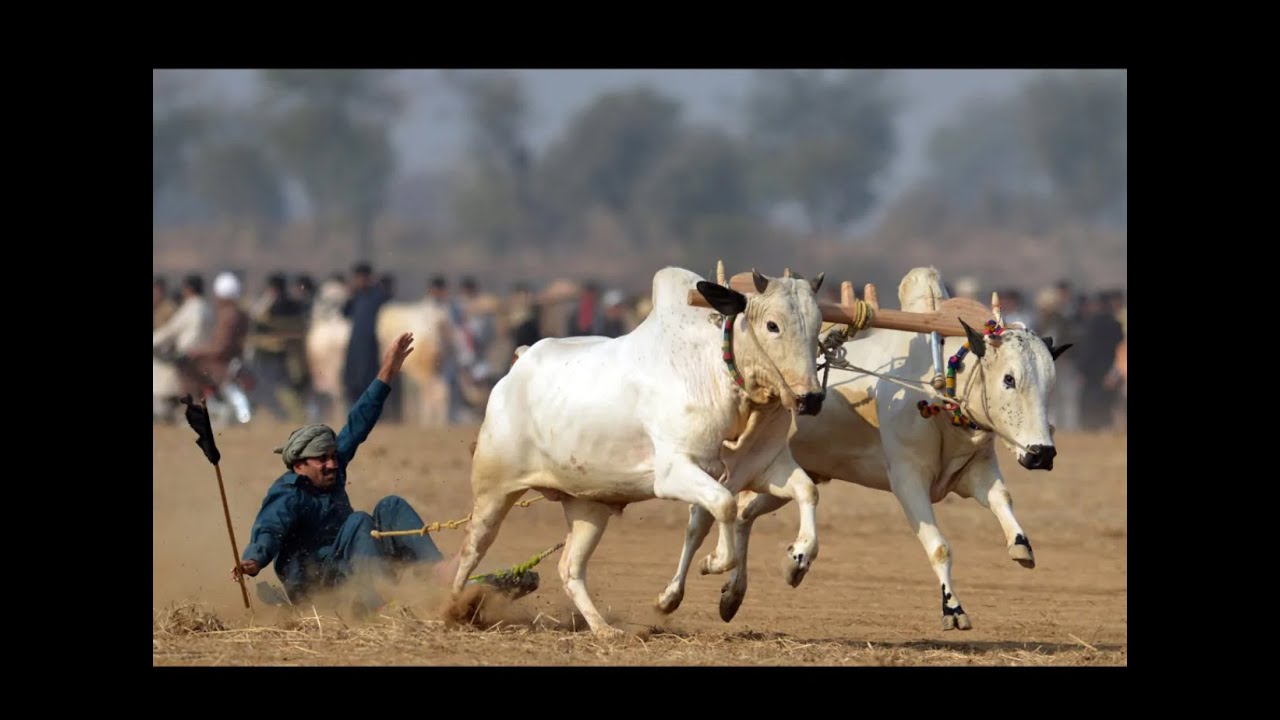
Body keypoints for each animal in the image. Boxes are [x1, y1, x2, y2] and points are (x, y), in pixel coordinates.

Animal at [446, 266, 828, 637]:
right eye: (772, 325)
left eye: (818, 324)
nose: (811, 398)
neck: (719, 374)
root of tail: (519, 363)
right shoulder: (674, 473)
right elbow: (725, 505)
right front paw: (715, 562)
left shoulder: (765, 468)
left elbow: (806, 491)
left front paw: (798, 557)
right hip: (494, 490)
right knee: (472, 547)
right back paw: (454, 608)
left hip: (588, 505)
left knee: (570, 568)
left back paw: (602, 628)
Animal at [661, 266, 1072, 631]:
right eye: (1009, 379)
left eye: (1051, 384)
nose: (1042, 454)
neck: (936, 381)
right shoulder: (908, 480)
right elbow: (939, 546)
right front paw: (953, 609)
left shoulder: (979, 468)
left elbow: (1003, 501)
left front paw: (1021, 547)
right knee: (701, 520)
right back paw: (674, 593)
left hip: (786, 475)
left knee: (745, 514)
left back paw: (745, 588)